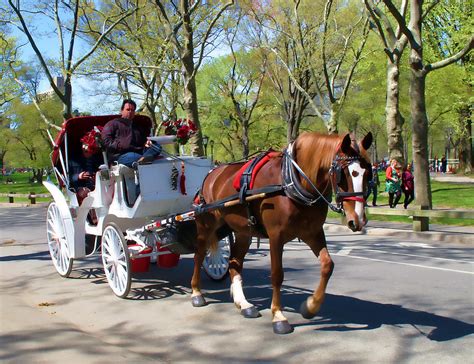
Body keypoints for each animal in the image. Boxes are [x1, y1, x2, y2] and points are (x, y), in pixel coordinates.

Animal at [191, 132, 372, 334]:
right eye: (344, 174)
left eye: (368, 173)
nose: (358, 220)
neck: (291, 182)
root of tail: (212, 173)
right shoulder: (276, 236)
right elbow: (277, 275)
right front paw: (278, 315)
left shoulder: (313, 233)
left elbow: (327, 265)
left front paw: (310, 306)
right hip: (206, 225)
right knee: (199, 255)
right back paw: (196, 293)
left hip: (243, 231)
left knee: (234, 262)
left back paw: (244, 304)